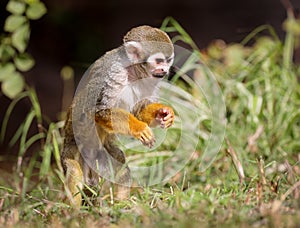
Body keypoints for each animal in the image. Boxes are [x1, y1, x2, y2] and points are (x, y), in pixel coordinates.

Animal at [62, 25, 175, 208]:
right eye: (159, 61)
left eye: (168, 60)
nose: (165, 70)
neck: (134, 72)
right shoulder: (113, 73)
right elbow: (100, 110)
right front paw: (140, 129)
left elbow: (139, 110)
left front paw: (164, 112)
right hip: (72, 148)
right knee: (73, 171)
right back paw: (72, 210)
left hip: (102, 154)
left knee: (121, 164)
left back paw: (122, 204)